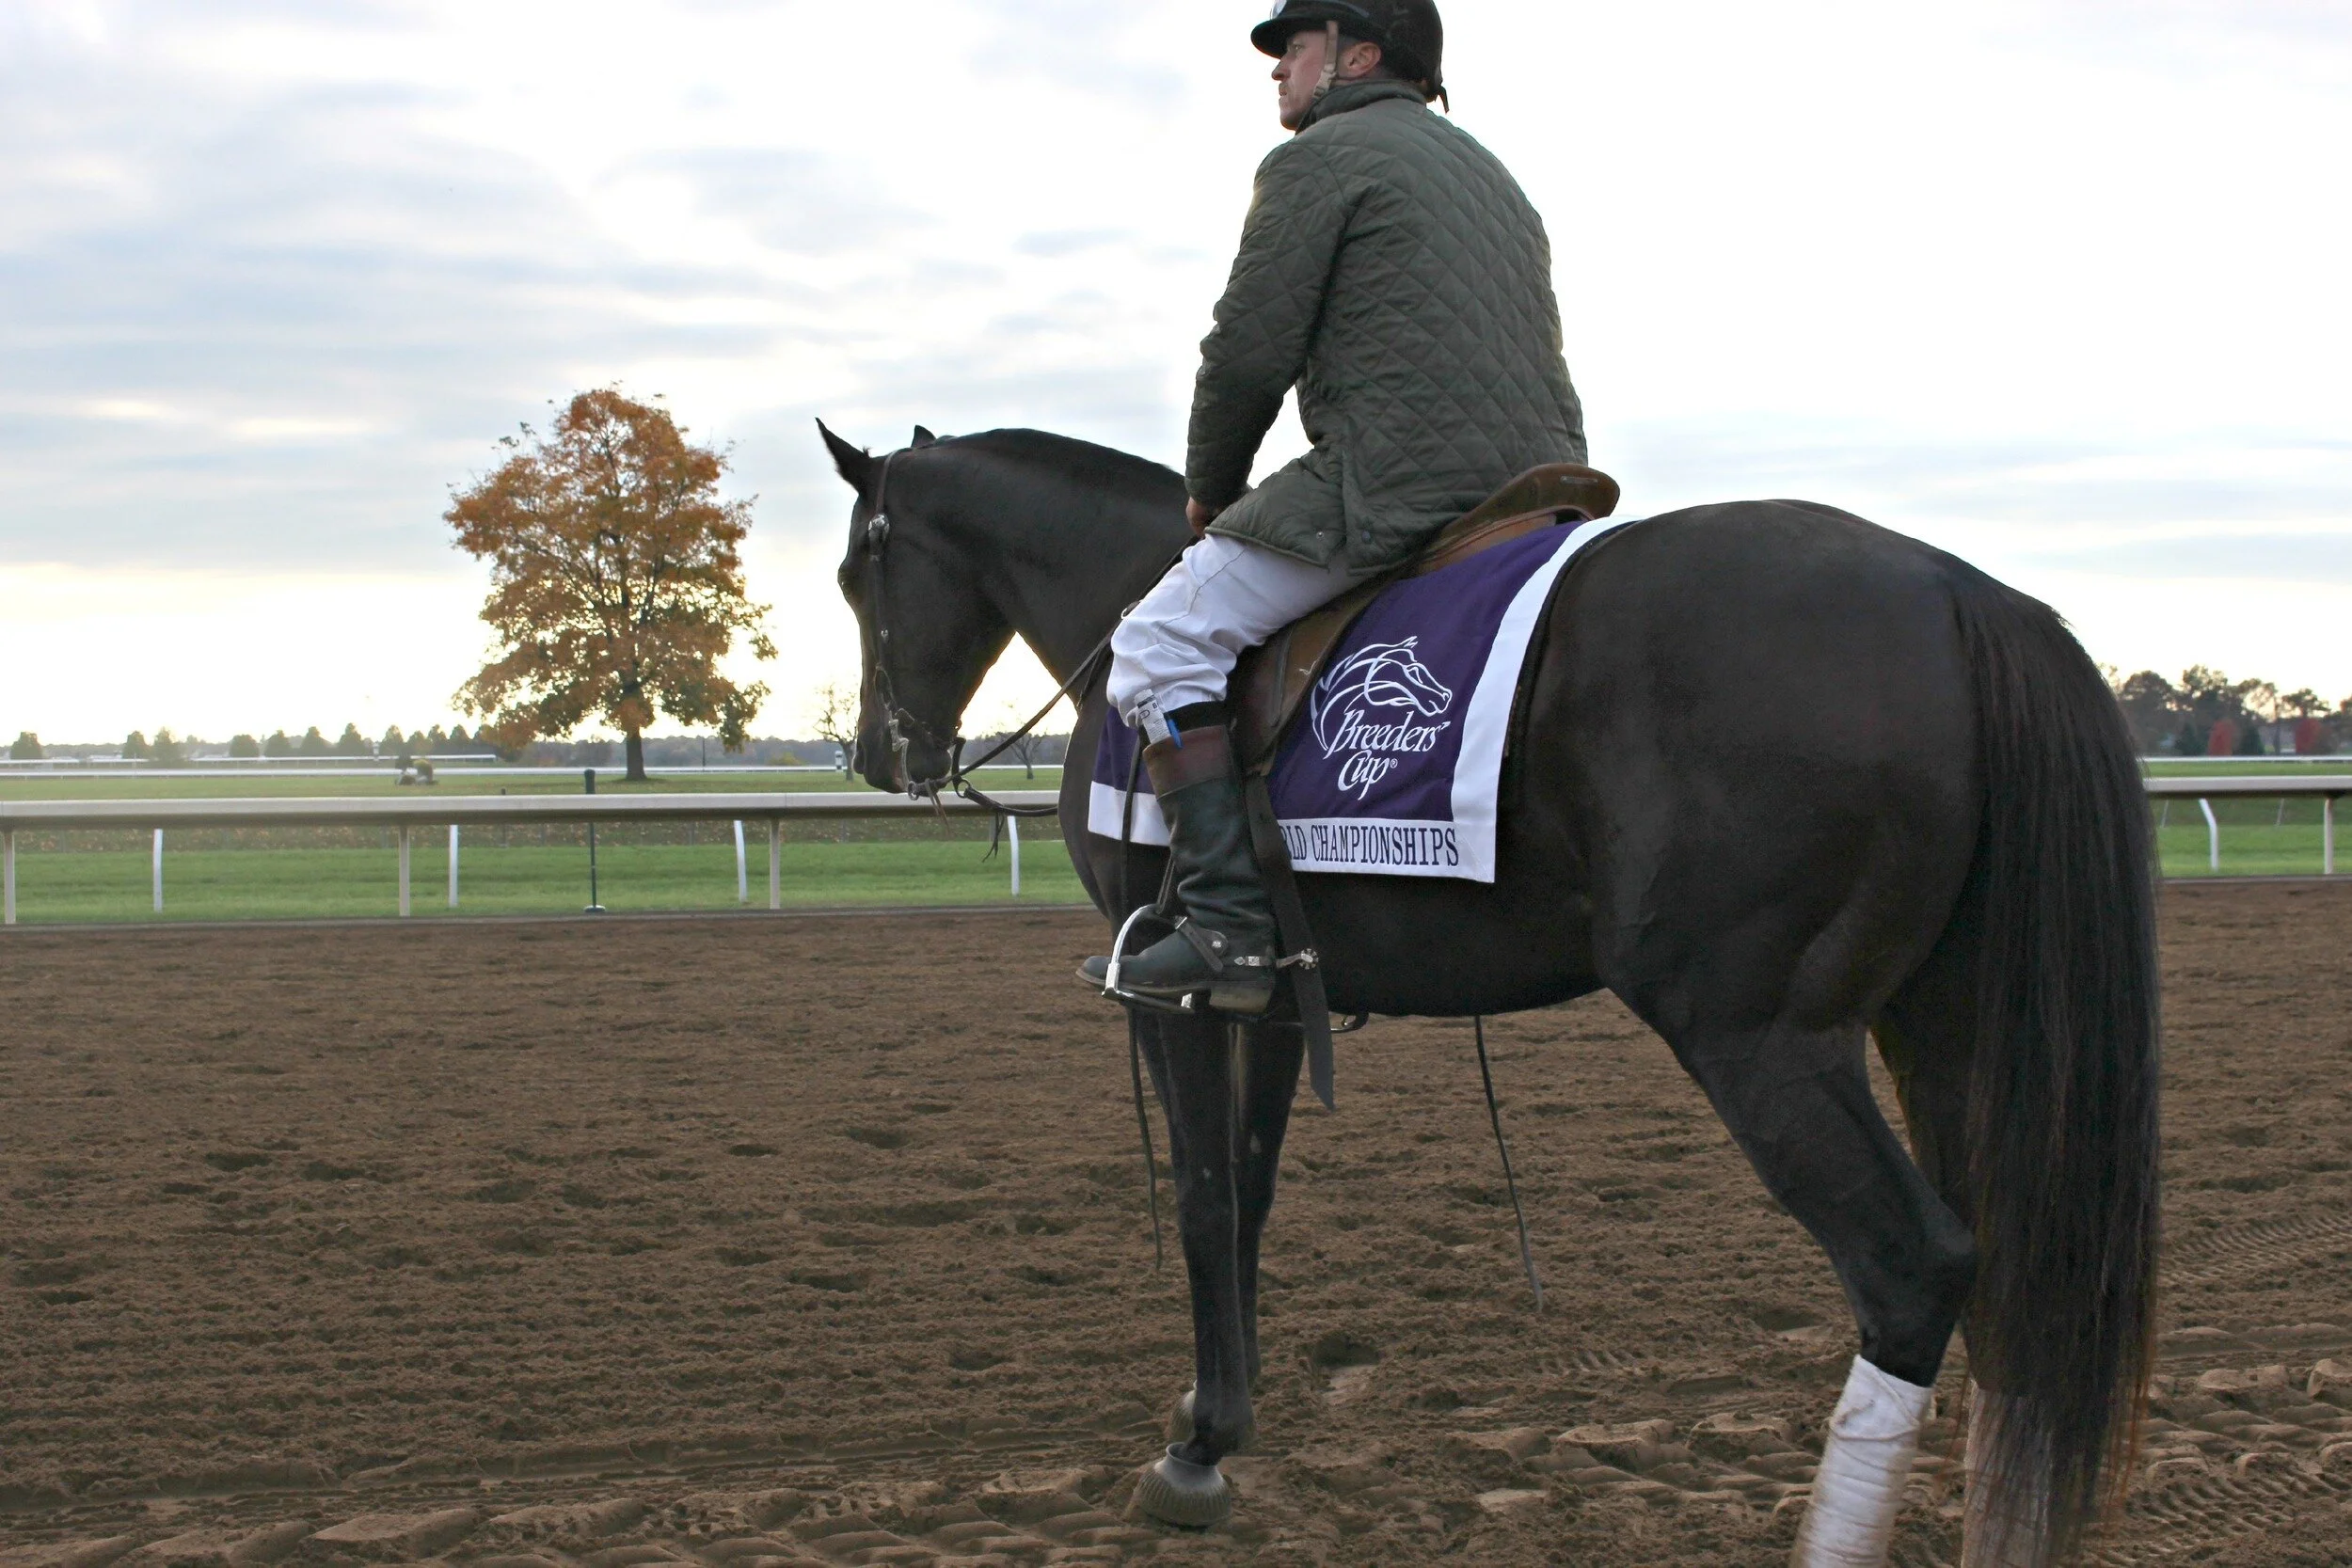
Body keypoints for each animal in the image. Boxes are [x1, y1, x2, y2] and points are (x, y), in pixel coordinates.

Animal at [819, 421, 2159, 1567]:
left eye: (853, 572)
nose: (882, 754)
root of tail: (1958, 590)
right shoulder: (1271, 993)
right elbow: (1250, 1193)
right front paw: (1226, 1409)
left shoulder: (1174, 990)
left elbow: (1201, 1196)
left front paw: (1194, 1448)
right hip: (1948, 1029)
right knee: (2017, 1284)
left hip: (1759, 1033)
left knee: (1915, 1267)